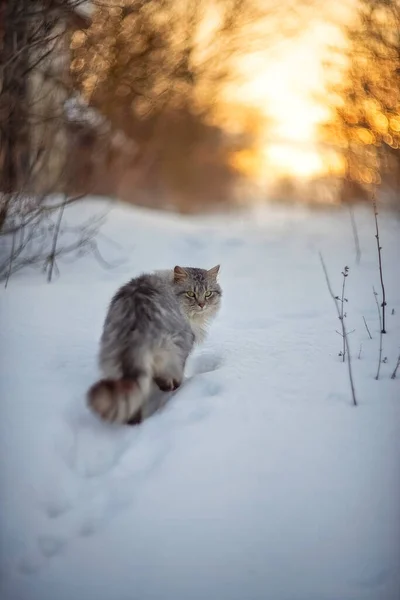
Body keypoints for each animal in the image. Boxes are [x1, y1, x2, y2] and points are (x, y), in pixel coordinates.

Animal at [86, 264, 222, 424]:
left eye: (208, 293)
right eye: (190, 294)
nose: (202, 305)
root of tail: (135, 326)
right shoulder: (185, 344)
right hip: (170, 348)